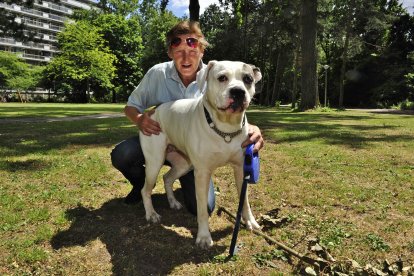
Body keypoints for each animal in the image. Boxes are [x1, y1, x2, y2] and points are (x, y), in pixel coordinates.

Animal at [139, 60, 262, 248]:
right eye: (222, 78)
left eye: (247, 79)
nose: (238, 91)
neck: (225, 129)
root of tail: (152, 111)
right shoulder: (202, 174)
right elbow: (202, 209)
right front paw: (204, 237)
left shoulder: (242, 169)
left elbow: (245, 201)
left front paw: (250, 222)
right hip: (154, 162)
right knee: (145, 190)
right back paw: (151, 214)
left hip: (184, 164)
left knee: (167, 178)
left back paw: (173, 202)